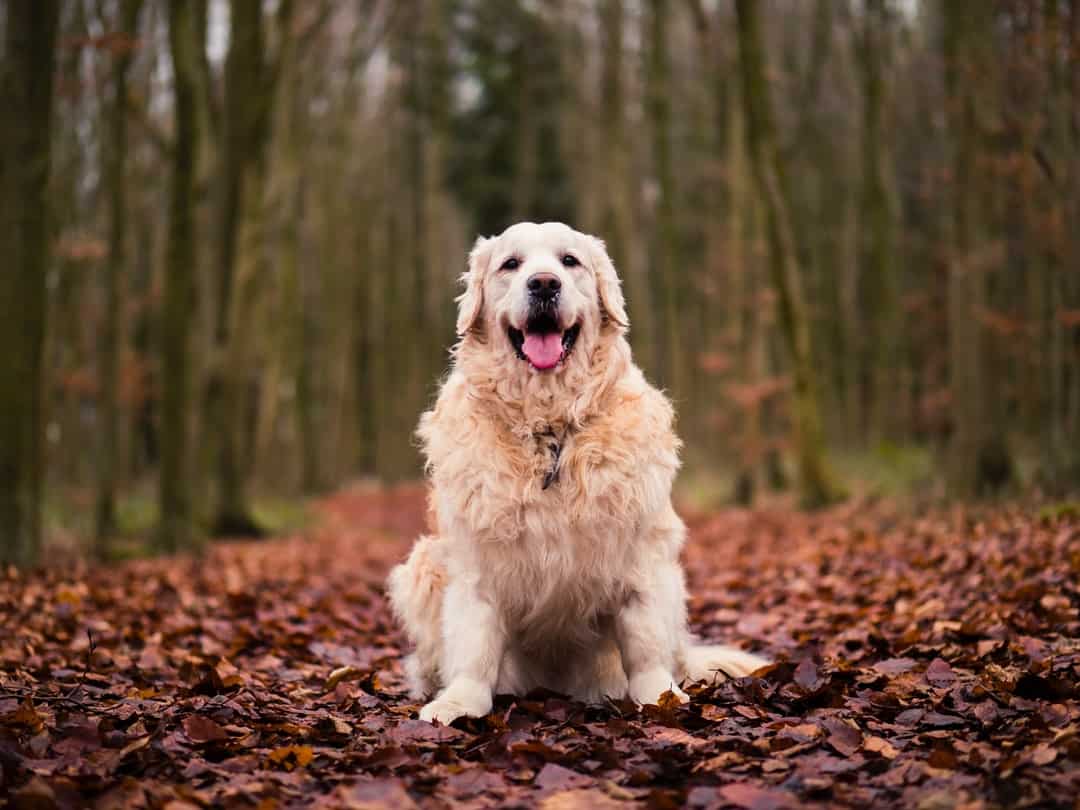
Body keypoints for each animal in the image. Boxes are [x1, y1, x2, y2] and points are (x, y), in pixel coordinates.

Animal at [388, 223, 768, 730]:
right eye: (510, 264)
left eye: (570, 261)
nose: (544, 284)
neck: (549, 429)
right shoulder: (474, 563)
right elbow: (474, 643)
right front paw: (459, 702)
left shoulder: (644, 556)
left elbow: (645, 643)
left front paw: (659, 697)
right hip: (422, 564)